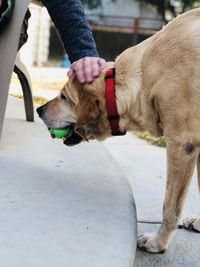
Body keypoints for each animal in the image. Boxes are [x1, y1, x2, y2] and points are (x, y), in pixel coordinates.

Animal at [37, 8, 200, 254]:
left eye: (64, 97)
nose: (38, 109)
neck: (144, 76)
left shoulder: (182, 144)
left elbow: (170, 207)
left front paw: (158, 242)